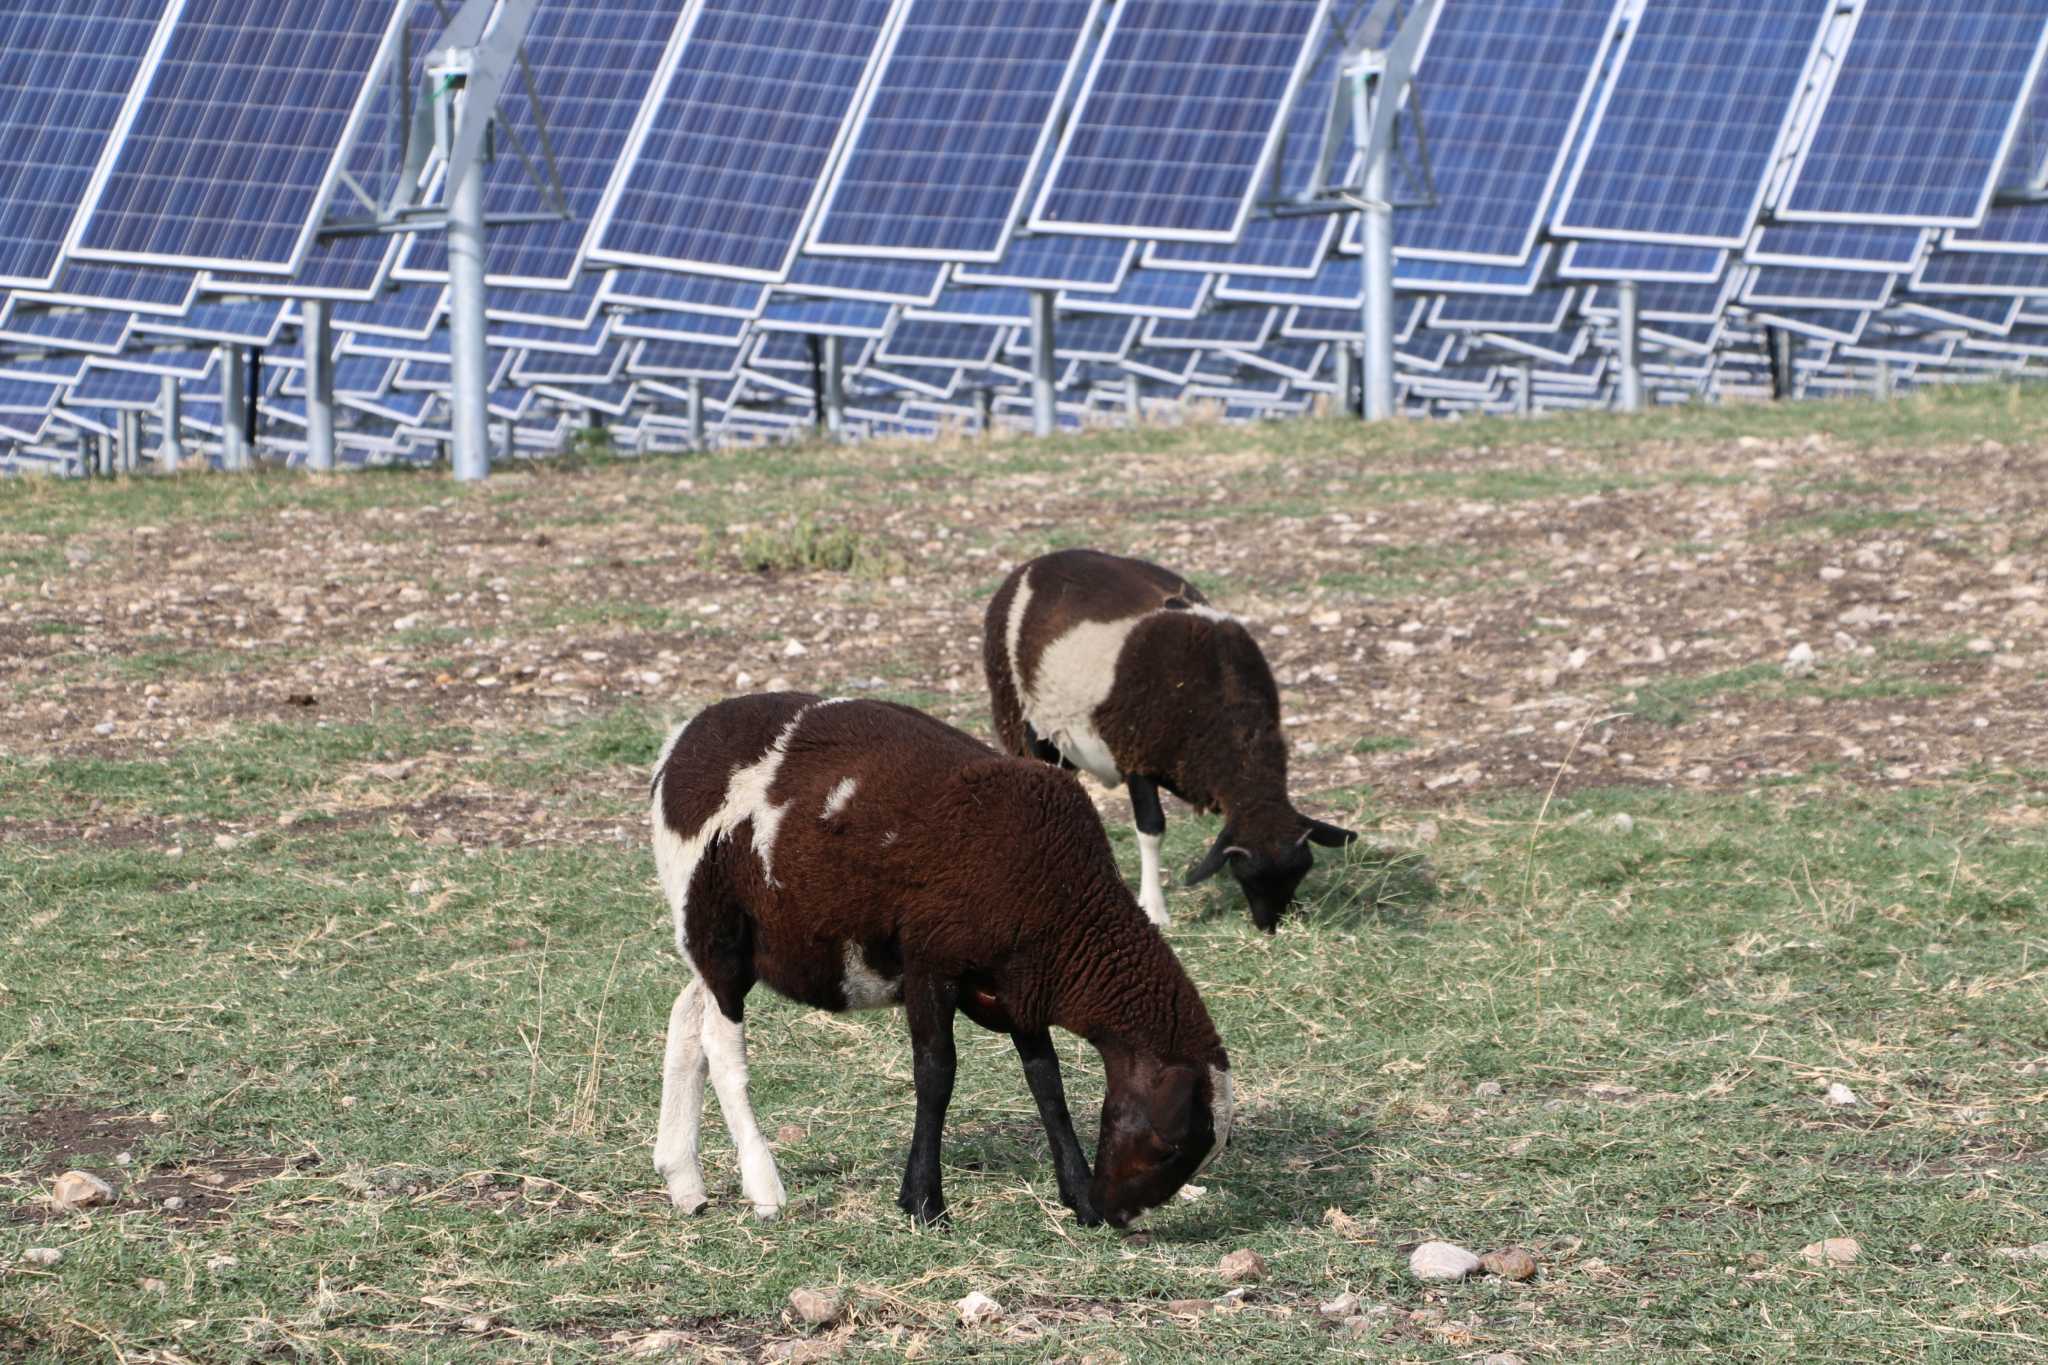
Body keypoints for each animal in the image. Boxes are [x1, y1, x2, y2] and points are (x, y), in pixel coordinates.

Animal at [651, 695, 1228, 1227]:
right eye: (1170, 1147)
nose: (1116, 1214)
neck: (1068, 909)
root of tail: (679, 744)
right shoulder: (931, 964)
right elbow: (936, 1074)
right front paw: (924, 1202)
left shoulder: (1018, 982)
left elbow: (1045, 1079)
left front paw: (1076, 1194)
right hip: (715, 922)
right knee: (721, 1046)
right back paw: (763, 1187)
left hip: (722, 941)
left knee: (686, 1017)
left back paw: (684, 1180)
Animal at [978, 548, 1351, 933]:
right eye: (1247, 874)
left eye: (1300, 871)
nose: (1272, 928)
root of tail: (1043, 559)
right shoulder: (1137, 755)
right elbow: (1151, 829)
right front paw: (1155, 910)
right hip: (1027, 720)